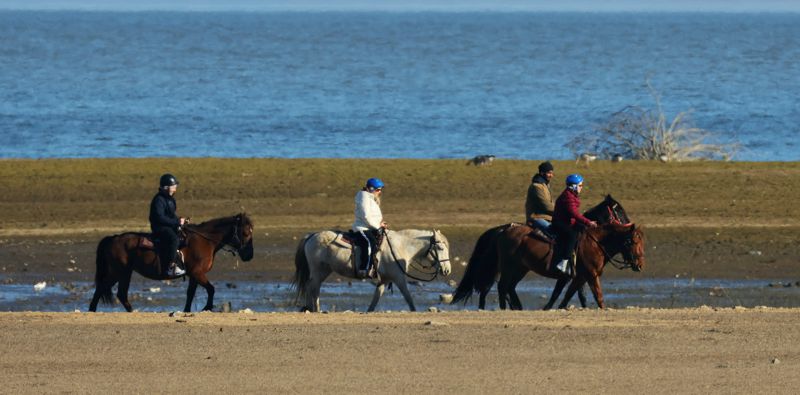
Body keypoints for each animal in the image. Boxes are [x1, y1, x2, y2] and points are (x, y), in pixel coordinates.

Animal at [87, 213, 252, 312]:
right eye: (245, 233)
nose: (249, 256)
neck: (204, 240)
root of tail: (113, 238)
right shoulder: (197, 273)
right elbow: (211, 289)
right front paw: (207, 307)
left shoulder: (194, 275)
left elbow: (190, 294)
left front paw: (187, 311)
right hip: (118, 272)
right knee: (102, 288)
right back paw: (92, 310)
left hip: (125, 273)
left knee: (120, 293)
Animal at [294, 229, 454, 312]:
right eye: (440, 247)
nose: (447, 270)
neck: (400, 247)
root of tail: (311, 236)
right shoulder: (399, 278)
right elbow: (408, 298)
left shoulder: (384, 280)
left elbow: (376, 299)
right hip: (318, 271)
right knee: (313, 288)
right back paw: (315, 309)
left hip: (323, 271)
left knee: (310, 287)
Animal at [454, 196, 640, 310]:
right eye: (619, 211)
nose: (630, 224)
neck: (590, 237)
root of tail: (503, 229)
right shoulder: (577, 273)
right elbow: (570, 293)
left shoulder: (571, 276)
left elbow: (566, 293)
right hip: (508, 266)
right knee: (499, 287)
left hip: (520, 268)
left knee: (507, 287)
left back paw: (516, 307)